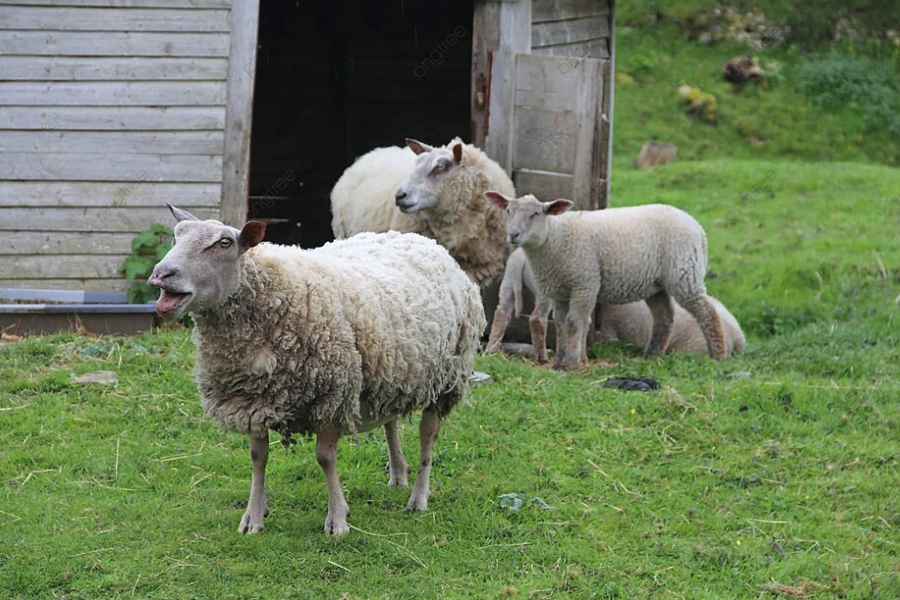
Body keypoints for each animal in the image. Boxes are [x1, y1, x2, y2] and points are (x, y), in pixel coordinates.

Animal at [149, 205, 488, 536]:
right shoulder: (254, 401)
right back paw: (398, 475)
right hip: (391, 370)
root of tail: (421, 240)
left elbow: (325, 458)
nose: (161, 273)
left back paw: (418, 497)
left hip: (445, 378)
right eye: (176, 237)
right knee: (390, 421)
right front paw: (253, 517)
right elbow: (258, 458)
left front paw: (337, 520)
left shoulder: (332, 395)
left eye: (223, 243)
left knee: (427, 435)